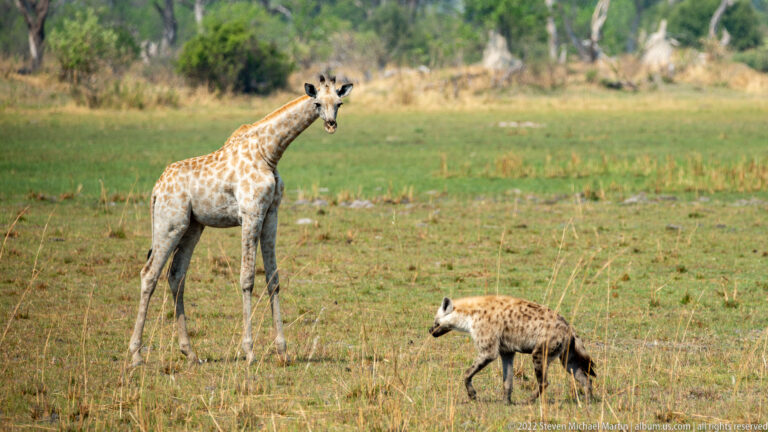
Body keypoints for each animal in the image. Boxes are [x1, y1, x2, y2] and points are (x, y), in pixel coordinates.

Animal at [128, 75, 353, 367]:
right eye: (317, 103)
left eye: (339, 103)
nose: (331, 124)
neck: (269, 152)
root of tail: (156, 188)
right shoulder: (251, 213)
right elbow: (247, 278)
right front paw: (249, 351)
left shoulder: (271, 214)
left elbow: (273, 278)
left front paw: (283, 351)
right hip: (170, 223)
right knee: (149, 274)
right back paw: (136, 355)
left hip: (192, 227)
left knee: (176, 275)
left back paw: (190, 352)